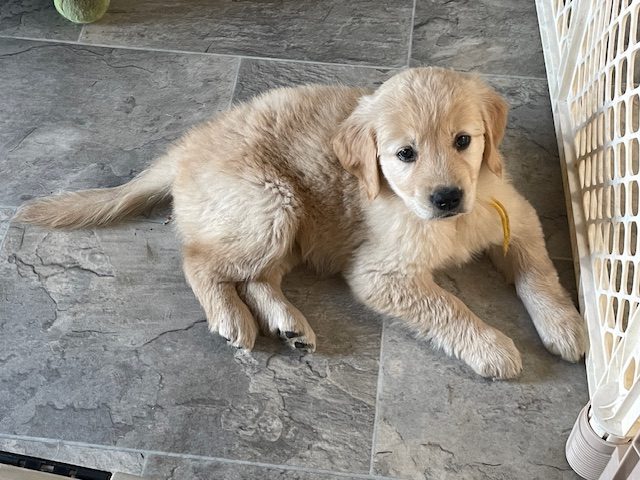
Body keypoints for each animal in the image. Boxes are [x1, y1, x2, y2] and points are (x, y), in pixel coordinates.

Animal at [16, 66, 584, 378]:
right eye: (405, 154)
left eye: (464, 140)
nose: (447, 197)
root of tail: (184, 150)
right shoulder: (381, 274)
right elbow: (449, 307)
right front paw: (492, 347)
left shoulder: (515, 215)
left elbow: (539, 271)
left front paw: (566, 325)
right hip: (268, 205)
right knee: (199, 260)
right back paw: (230, 317)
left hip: (286, 224)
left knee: (256, 277)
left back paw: (288, 324)